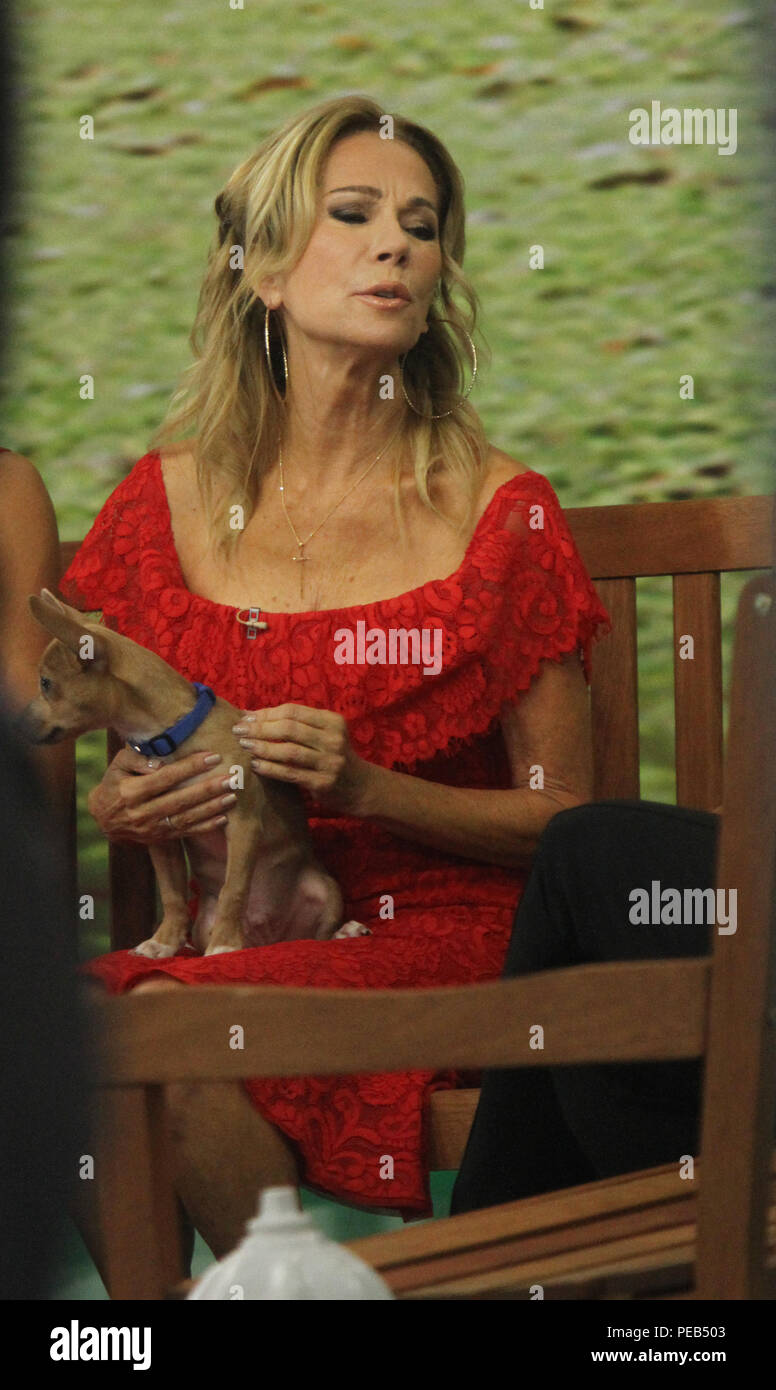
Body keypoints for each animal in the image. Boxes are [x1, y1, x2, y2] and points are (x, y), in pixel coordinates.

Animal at [16, 586, 369, 956]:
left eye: (45, 683)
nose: (17, 724)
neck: (170, 736)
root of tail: (268, 938)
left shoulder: (243, 823)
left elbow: (233, 890)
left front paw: (224, 944)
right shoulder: (160, 832)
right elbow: (172, 894)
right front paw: (165, 941)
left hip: (326, 890)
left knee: (317, 933)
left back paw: (342, 931)